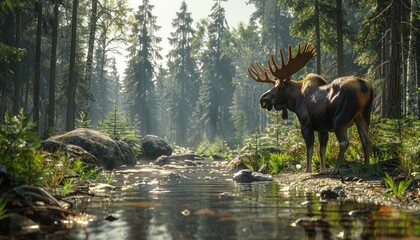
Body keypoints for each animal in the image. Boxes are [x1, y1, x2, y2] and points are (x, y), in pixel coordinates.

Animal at [248, 43, 372, 173]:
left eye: (279, 86)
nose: (263, 100)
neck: (296, 100)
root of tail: (364, 87)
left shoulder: (306, 124)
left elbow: (309, 149)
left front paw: (308, 170)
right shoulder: (322, 128)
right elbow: (321, 150)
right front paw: (322, 171)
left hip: (340, 120)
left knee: (344, 142)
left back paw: (335, 169)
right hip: (363, 116)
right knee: (366, 140)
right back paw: (367, 166)